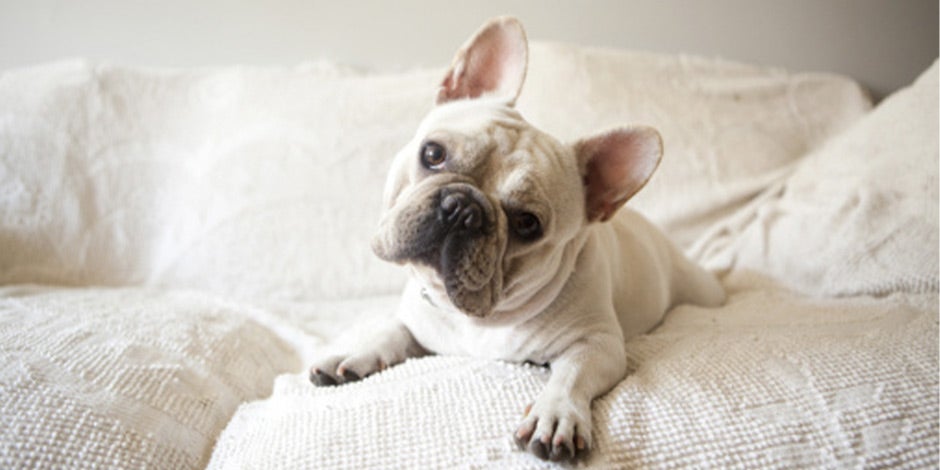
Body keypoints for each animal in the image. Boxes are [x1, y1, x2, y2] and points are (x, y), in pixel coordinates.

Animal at [310, 16, 728, 460]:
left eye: (527, 223)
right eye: (433, 153)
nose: (462, 208)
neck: (479, 316)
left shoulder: (598, 343)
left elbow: (572, 376)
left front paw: (556, 414)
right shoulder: (417, 321)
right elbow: (390, 331)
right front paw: (355, 352)